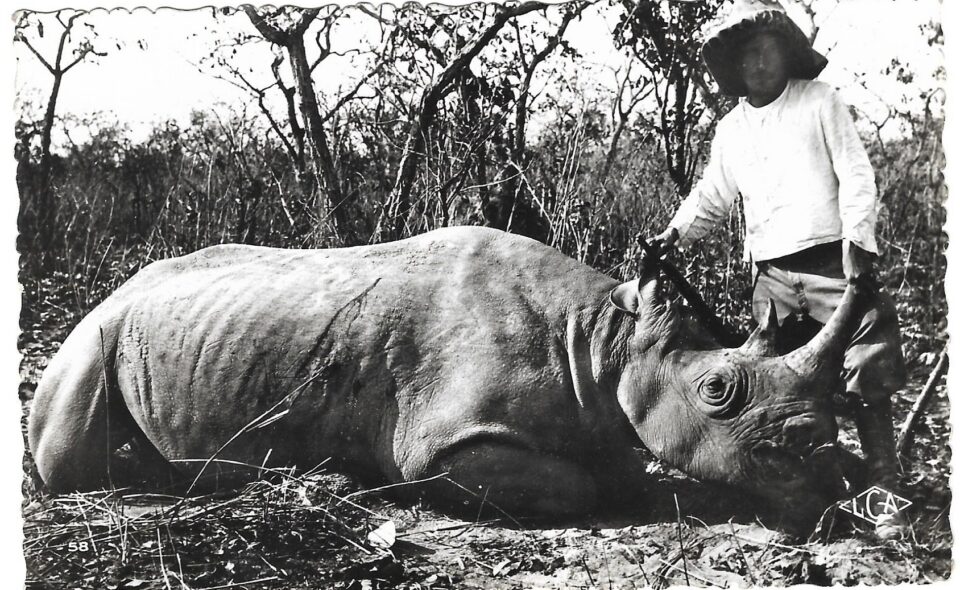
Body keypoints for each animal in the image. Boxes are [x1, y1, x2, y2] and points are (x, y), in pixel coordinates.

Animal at [29, 226, 862, 518]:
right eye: (718, 390)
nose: (826, 474)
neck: (608, 341)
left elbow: (618, 467)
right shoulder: (441, 440)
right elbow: (582, 488)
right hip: (91, 338)